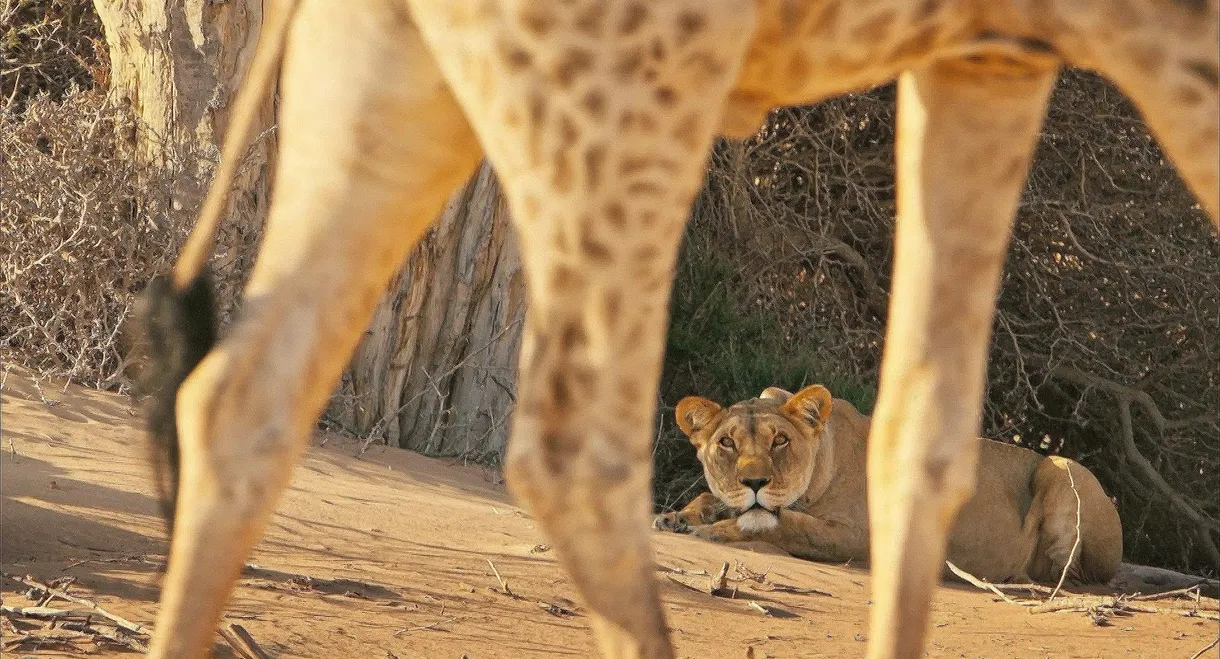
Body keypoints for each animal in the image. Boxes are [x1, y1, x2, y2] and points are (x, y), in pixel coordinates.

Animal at [655, 385, 1124, 586]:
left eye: (780, 441)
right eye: (727, 443)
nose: (754, 481)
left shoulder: (862, 535)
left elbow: (785, 524)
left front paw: (711, 530)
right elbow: (718, 500)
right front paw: (678, 516)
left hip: (1061, 468)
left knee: (1071, 574)